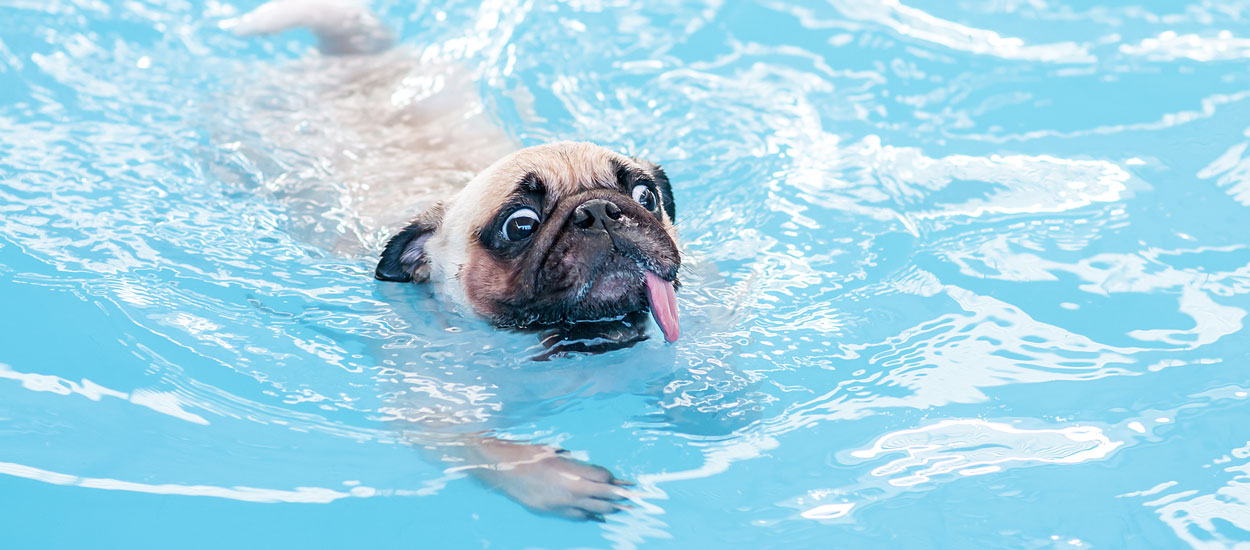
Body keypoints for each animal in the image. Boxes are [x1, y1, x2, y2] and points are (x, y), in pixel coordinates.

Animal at [235, 0, 685, 522]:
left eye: (645, 196)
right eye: (520, 225)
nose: (597, 211)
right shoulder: (435, 416)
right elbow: (488, 449)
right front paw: (558, 479)